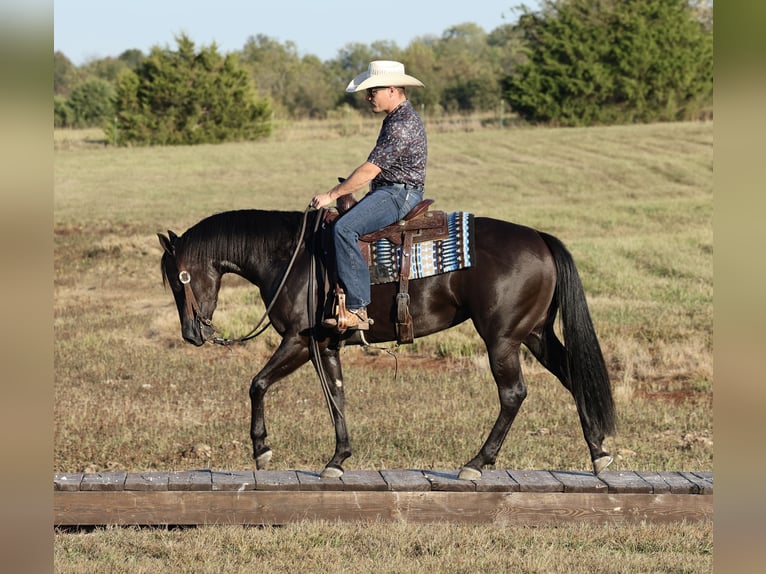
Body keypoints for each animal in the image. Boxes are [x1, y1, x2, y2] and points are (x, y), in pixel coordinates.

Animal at [158, 207, 616, 480]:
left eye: (179, 281)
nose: (192, 334)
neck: (290, 257)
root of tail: (539, 238)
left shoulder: (299, 340)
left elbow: (257, 384)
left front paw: (261, 449)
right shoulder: (325, 344)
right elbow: (336, 397)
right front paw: (338, 459)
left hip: (502, 339)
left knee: (513, 394)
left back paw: (476, 462)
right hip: (535, 334)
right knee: (573, 376)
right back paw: (598, 453)